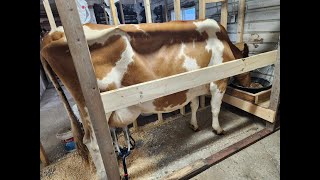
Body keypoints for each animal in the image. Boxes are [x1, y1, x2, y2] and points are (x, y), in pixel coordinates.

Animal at [39, 19, 250, 179]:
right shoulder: (218, 82)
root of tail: (55, 32)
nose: (250, 83)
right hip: (92, 108)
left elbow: (195, 105)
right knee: (92, 143)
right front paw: (218, 129)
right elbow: (215, 108)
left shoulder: (194, 85)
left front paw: (194, 124)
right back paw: (105, 174)